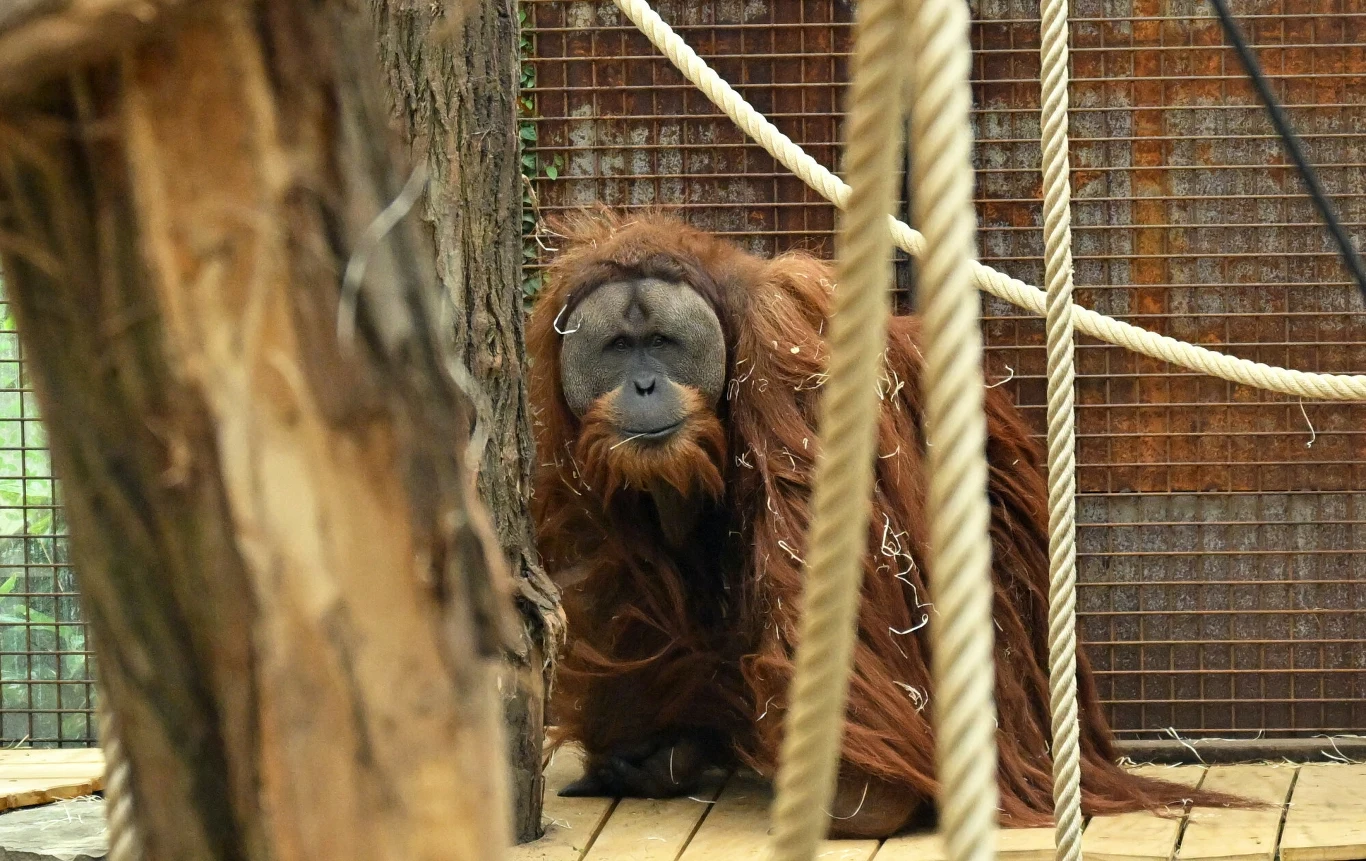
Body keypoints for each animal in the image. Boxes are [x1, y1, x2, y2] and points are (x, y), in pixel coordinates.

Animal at [528, 207, 1244, 838]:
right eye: (619, 348)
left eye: (662, 344)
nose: (644, 385)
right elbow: (615, 550)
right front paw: (645, 745)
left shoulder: (790, 341)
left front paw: (861, 795)